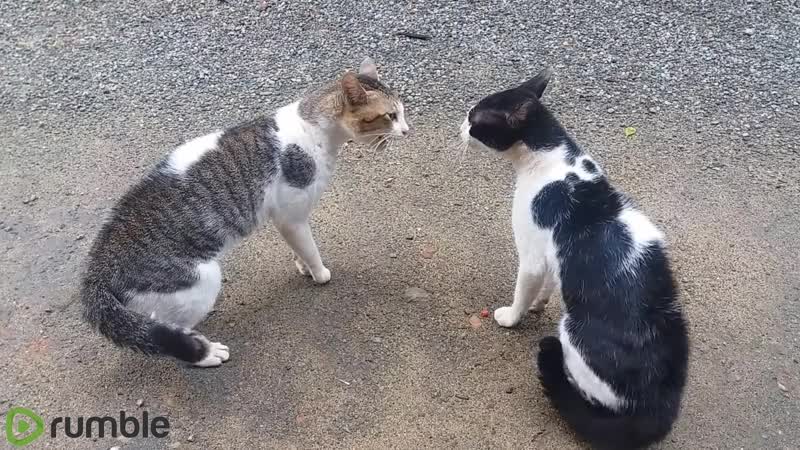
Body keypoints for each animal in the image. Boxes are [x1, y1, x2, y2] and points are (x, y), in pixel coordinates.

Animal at [81, 58, 410, 368]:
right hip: (201, 279)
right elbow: (310, 248)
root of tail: (97, 269)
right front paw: (318, 273)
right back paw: (205, 350)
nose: (408, 130)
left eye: (403, 112)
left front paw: (302, 266)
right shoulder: (292, 217)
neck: (314, 129)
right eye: (390, 116)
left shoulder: (286, 219)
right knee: (167, 333)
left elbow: (299, 250)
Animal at [460, 68, 692, 448]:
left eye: (474, 118)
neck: (552, 159)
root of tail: (659, 406)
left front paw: (512, 316)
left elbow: (523, 290)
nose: (460, 126)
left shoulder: (532, 254)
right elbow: (549, 285)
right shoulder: (554, 257)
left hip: (573, 332)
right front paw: (540, 303)